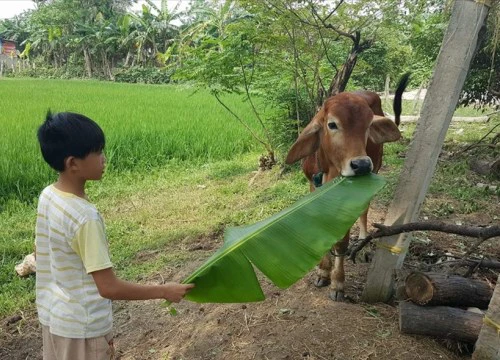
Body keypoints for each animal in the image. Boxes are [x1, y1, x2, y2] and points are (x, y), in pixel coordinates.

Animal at [286, 74, 410, 300]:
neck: (327, 169)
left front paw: (337, 282)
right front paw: (323, 272)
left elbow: (341, 241)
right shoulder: (313, 187)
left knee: (364, 211)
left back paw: (362, 246)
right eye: (332, 124)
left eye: (368, 125)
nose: (362, 165)